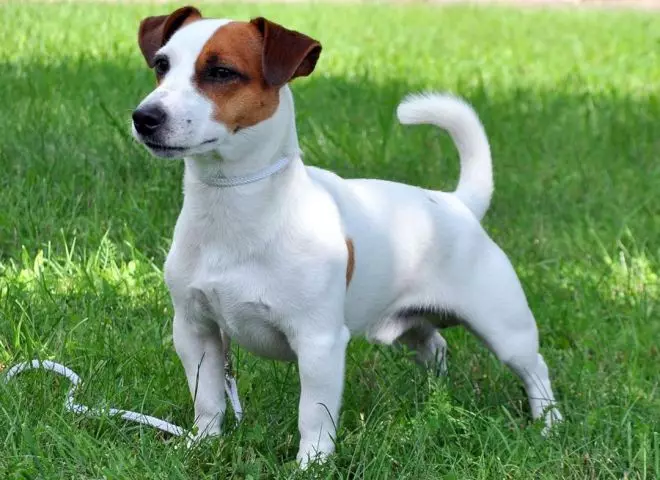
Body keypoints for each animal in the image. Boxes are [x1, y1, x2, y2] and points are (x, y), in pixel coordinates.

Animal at [130, 5, 564, 466]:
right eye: (161, 65)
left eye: (221, 72)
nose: (145, 117)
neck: (233, 209)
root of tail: (458, 203)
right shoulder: (196, 330)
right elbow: (208, 396)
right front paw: (204, 443)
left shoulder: (319, 343)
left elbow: (314, 413)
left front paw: (311, 464)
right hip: (413, 325)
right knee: (436, 346)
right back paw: (434, 399)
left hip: (505, 328)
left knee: (536, 369)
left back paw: (548, 425)